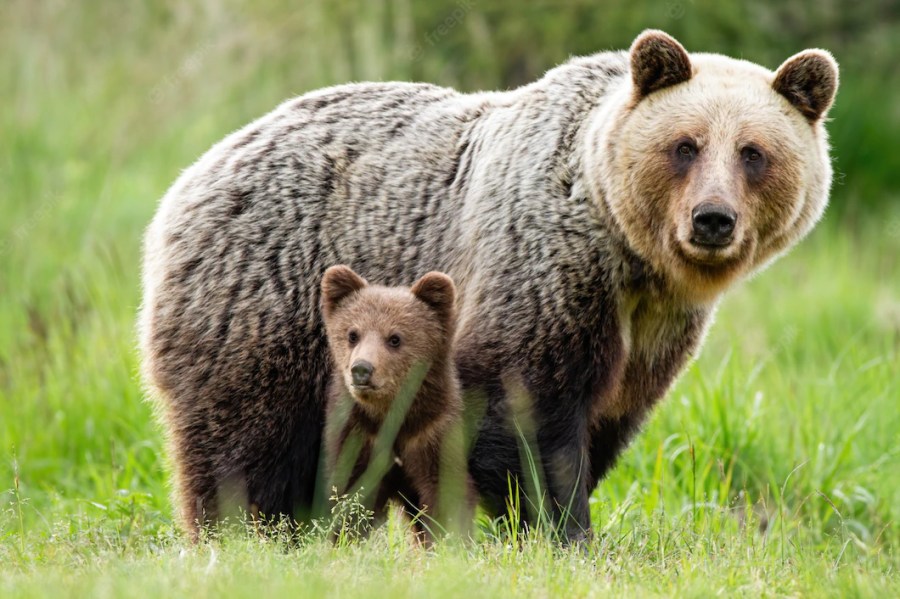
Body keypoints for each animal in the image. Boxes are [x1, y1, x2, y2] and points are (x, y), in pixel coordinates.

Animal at [319, 265, 474, 541]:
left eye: (395, 338)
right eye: (352, 334)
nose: (361, 369)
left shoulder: (431, 434)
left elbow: (445, 493)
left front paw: (448, 539)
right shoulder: (358, 436)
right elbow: (351, 495)